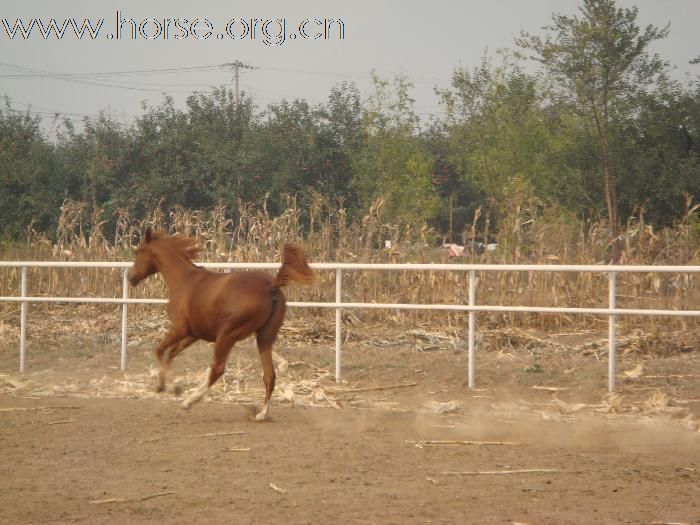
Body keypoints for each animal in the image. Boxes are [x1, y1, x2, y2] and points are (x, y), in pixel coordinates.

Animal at [127, 231, 314, 420]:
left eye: (138, 251)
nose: (130, 276)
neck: (184, 280)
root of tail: (271, 285)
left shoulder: (179, 329)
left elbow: (159, 350)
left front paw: (164, 387)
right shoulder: (192, 334)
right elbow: (171, 353)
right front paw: (174, 387)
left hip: (227, 335)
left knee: (217, 369)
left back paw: (190, 401)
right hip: (264, 337)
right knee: (269, 375)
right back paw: (261, 414)